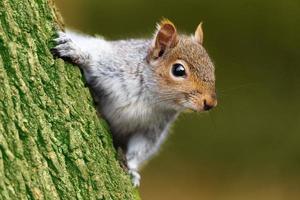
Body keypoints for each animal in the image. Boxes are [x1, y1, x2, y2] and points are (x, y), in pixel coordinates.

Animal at [51, 19, 216, 187]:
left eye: (212, 67)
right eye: (178, 70)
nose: (210, 103)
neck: (149, 97)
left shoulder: (152, 129)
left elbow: (140, 149)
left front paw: (132, 170)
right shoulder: (112, 61)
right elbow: (94, 57)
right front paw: (75, 50)